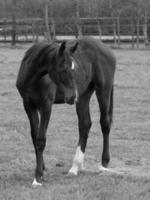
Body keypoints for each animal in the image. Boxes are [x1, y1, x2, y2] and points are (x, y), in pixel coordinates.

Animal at [15, 37, 116, 186]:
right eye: (62, 68)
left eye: (74, 68)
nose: (72, 96)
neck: (34, 79)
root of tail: (107, 50)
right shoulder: (28, 105)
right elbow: (34, 136)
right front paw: (42, 169)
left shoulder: (46, 105)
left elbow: (40, 139)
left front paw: (37, 177)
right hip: (84, 95)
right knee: (85, 125)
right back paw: (75, 167)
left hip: (103, 90)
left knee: (105, 123)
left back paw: (103, 165)